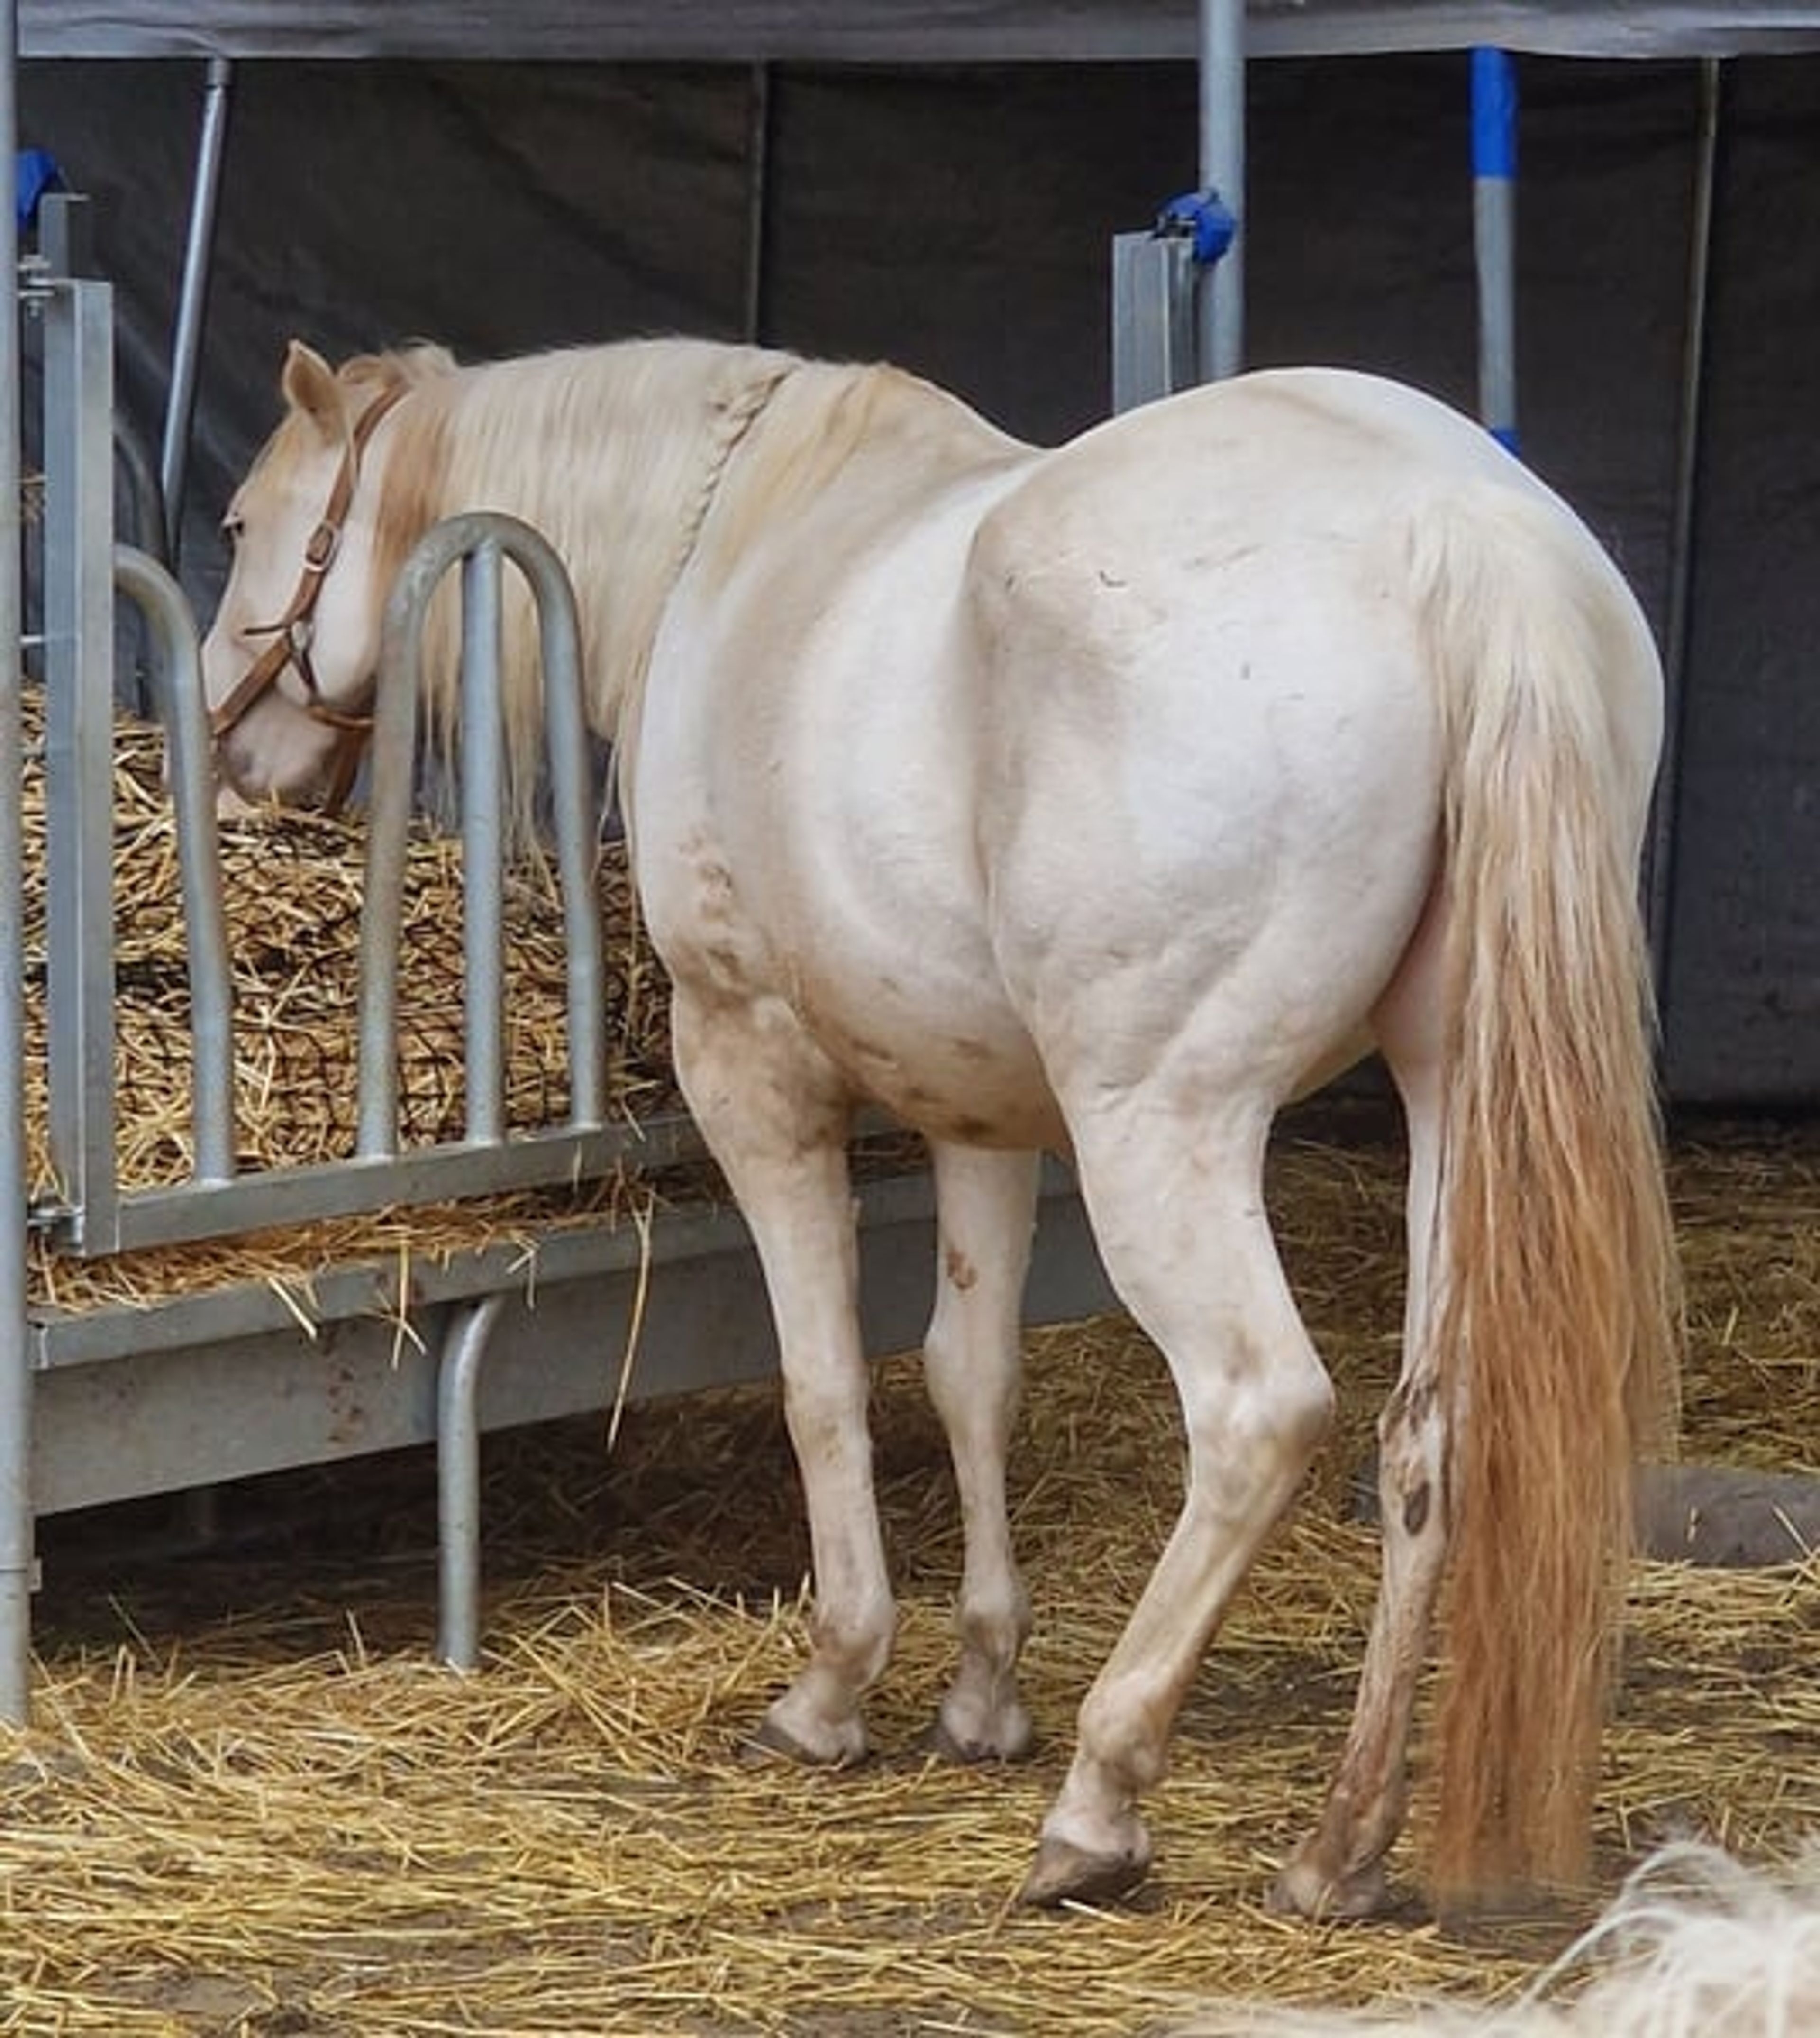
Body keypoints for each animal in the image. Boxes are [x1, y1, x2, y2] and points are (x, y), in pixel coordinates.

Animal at [200, 334, 1681, 1918]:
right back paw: (1338, 1844)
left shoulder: (755, 1071)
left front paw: (833, 1687)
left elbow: (824, 1380)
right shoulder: (980, 1105)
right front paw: (979, 1694)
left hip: (1164, 1130)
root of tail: (1458, 537)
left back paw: (1099, 1803)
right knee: (1429, 1432)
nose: (235, 774)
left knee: (1255, 1411)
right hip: (1449, 1092)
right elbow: (974, 1374)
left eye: (239, 523)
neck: (730, 540)